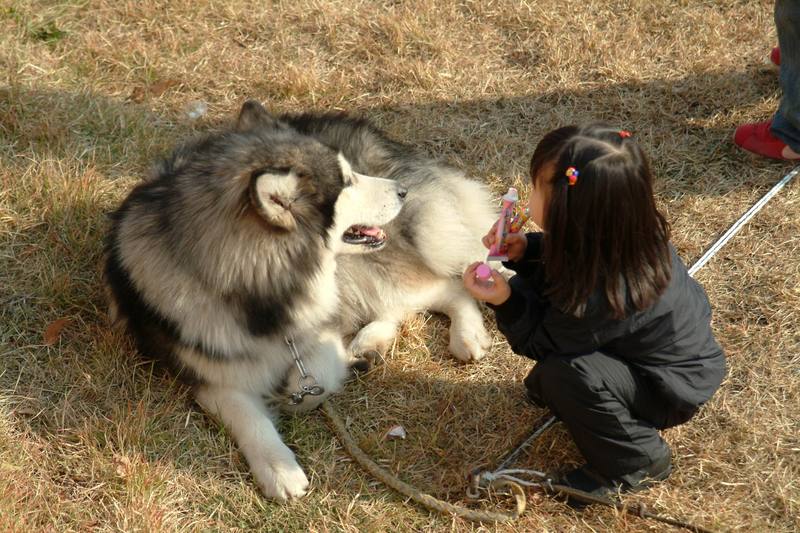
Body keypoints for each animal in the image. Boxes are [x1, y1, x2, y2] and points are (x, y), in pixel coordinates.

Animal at [104, 100, 496, 498]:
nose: (403, 192)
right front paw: (278, 467)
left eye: (351, 173)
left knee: (449, 286)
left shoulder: (322, 320)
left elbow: (312, 381)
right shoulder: (207, 374)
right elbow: (247, 415)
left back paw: (464, 336)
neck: (257, 292)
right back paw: (371, 342)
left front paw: (305, 383)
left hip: (369, 266)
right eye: (347, 183)